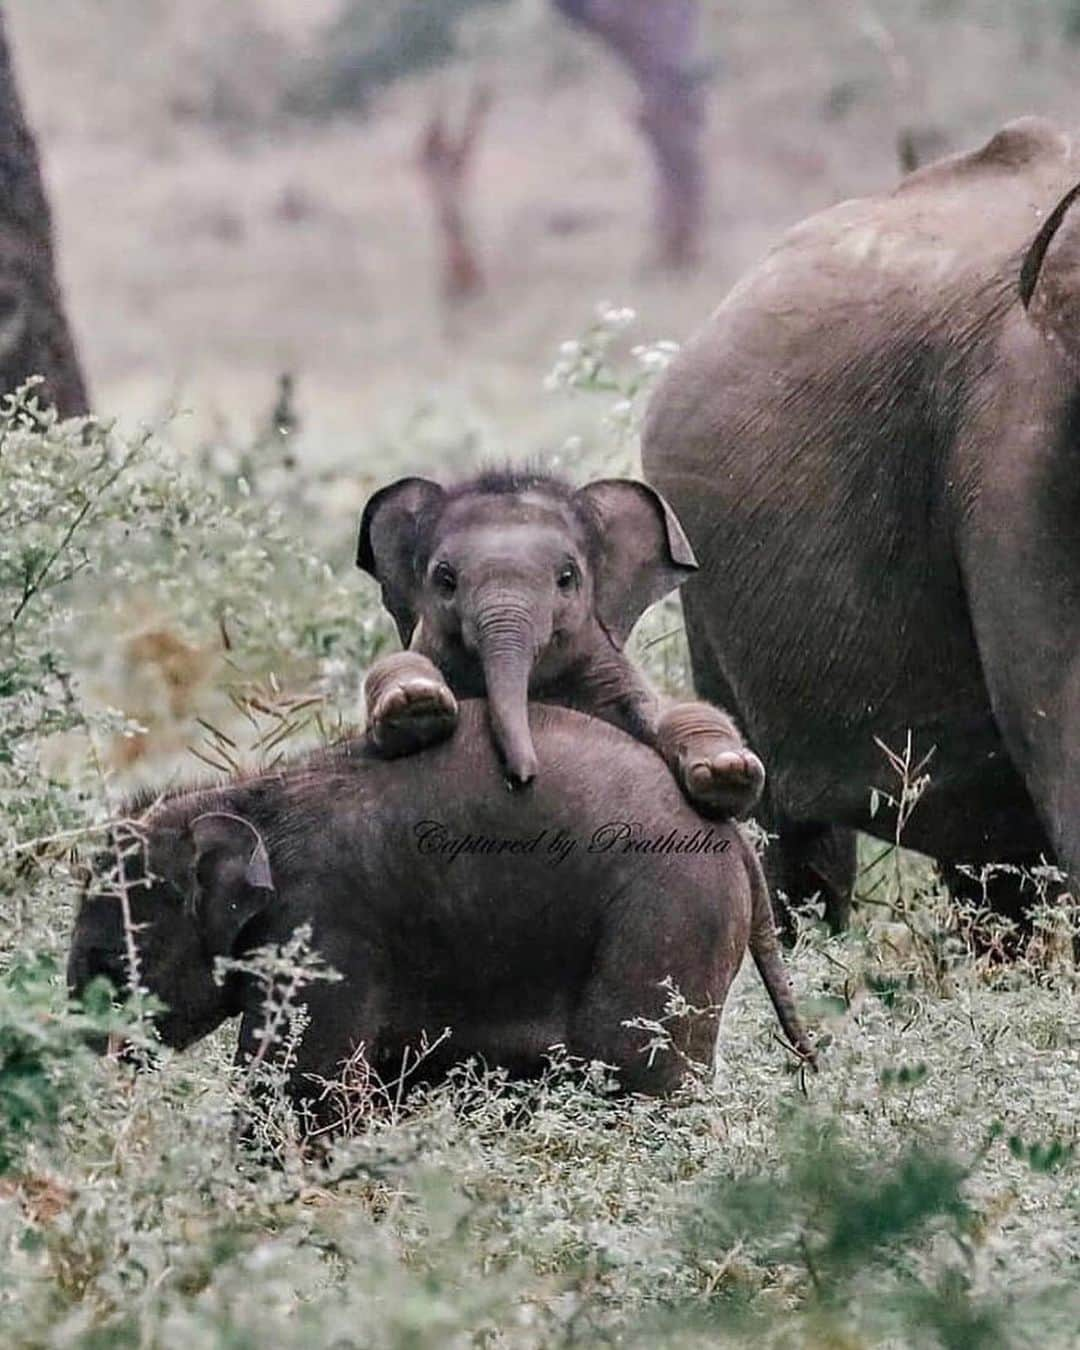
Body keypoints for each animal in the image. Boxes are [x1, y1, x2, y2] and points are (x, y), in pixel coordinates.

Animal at [67, 702, 815, 1123]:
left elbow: (304, 1085)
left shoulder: (323, 928)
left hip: (667, 918)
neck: (248, 794)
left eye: (109, 963)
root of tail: (733, 839)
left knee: (638, 1081)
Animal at [359, 469, 761, 815]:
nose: (522, 778)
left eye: (566, 577)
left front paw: (728, 770)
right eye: (445, 579)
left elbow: (672, 713)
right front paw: (415, 703)